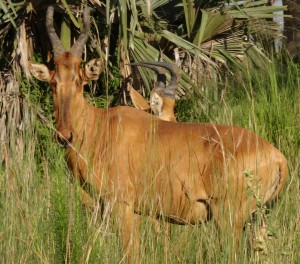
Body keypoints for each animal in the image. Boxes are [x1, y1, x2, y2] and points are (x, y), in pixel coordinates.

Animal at [30, 5, 288, 262]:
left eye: (79, 81)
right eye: (53, 82)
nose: (64, 136)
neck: (102, 127)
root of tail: (277, 156)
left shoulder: (123, 206)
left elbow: (130, 253)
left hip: (228, 219)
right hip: (259, 219)